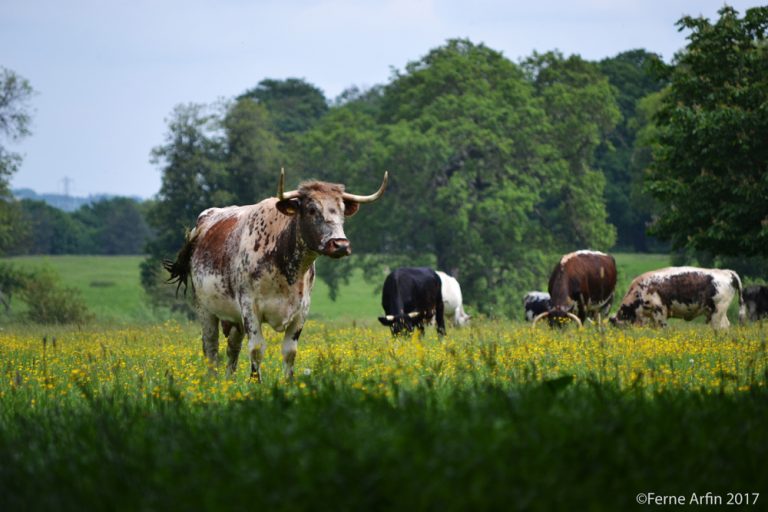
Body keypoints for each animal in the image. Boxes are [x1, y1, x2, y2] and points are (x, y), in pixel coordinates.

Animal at [165, 170, 388, 382]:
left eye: (342, 210)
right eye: (311, 209)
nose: (340, 245)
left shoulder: (301, 311)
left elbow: (290, 352)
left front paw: (289, 383)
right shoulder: (250, 307)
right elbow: (256, 349)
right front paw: (255, 383)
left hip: (234, 318)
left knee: (232, 348)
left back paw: (229, 381)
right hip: (205, 309)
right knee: (210, 347)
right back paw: (213, 381)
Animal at [608, 266, 740, 330]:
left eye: (619, 326)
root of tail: (727, 272)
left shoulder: (659, 311)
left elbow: (662, 328)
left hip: (717, 311)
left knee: (720, 327)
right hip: (720, 312)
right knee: (726, 326)